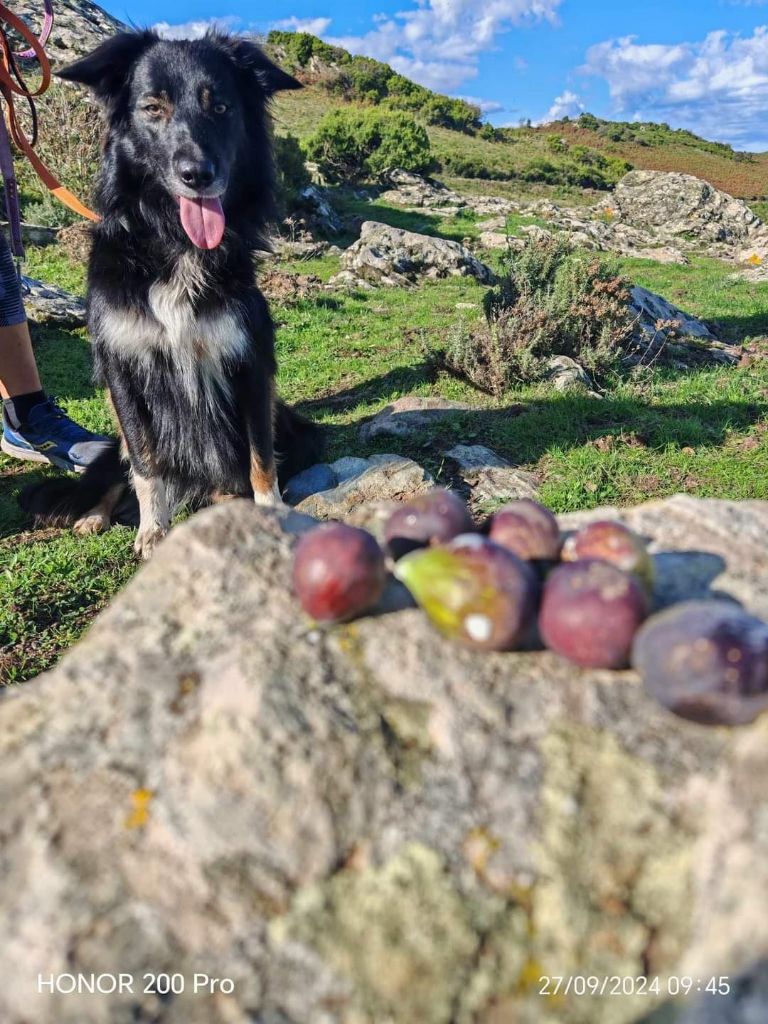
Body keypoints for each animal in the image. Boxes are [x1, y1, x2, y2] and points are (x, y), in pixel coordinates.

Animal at [24, 29, 323, 561]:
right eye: (153, 107)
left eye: (221, 106)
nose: (197, 174)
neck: (175, 243)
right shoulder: (123, 368)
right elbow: (147, 463)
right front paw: (153, 531)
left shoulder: (249, 361)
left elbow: (259, 454)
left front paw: (269, 512)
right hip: (113, 444)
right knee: (118, 474)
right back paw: (94, 517)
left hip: (298, 428)